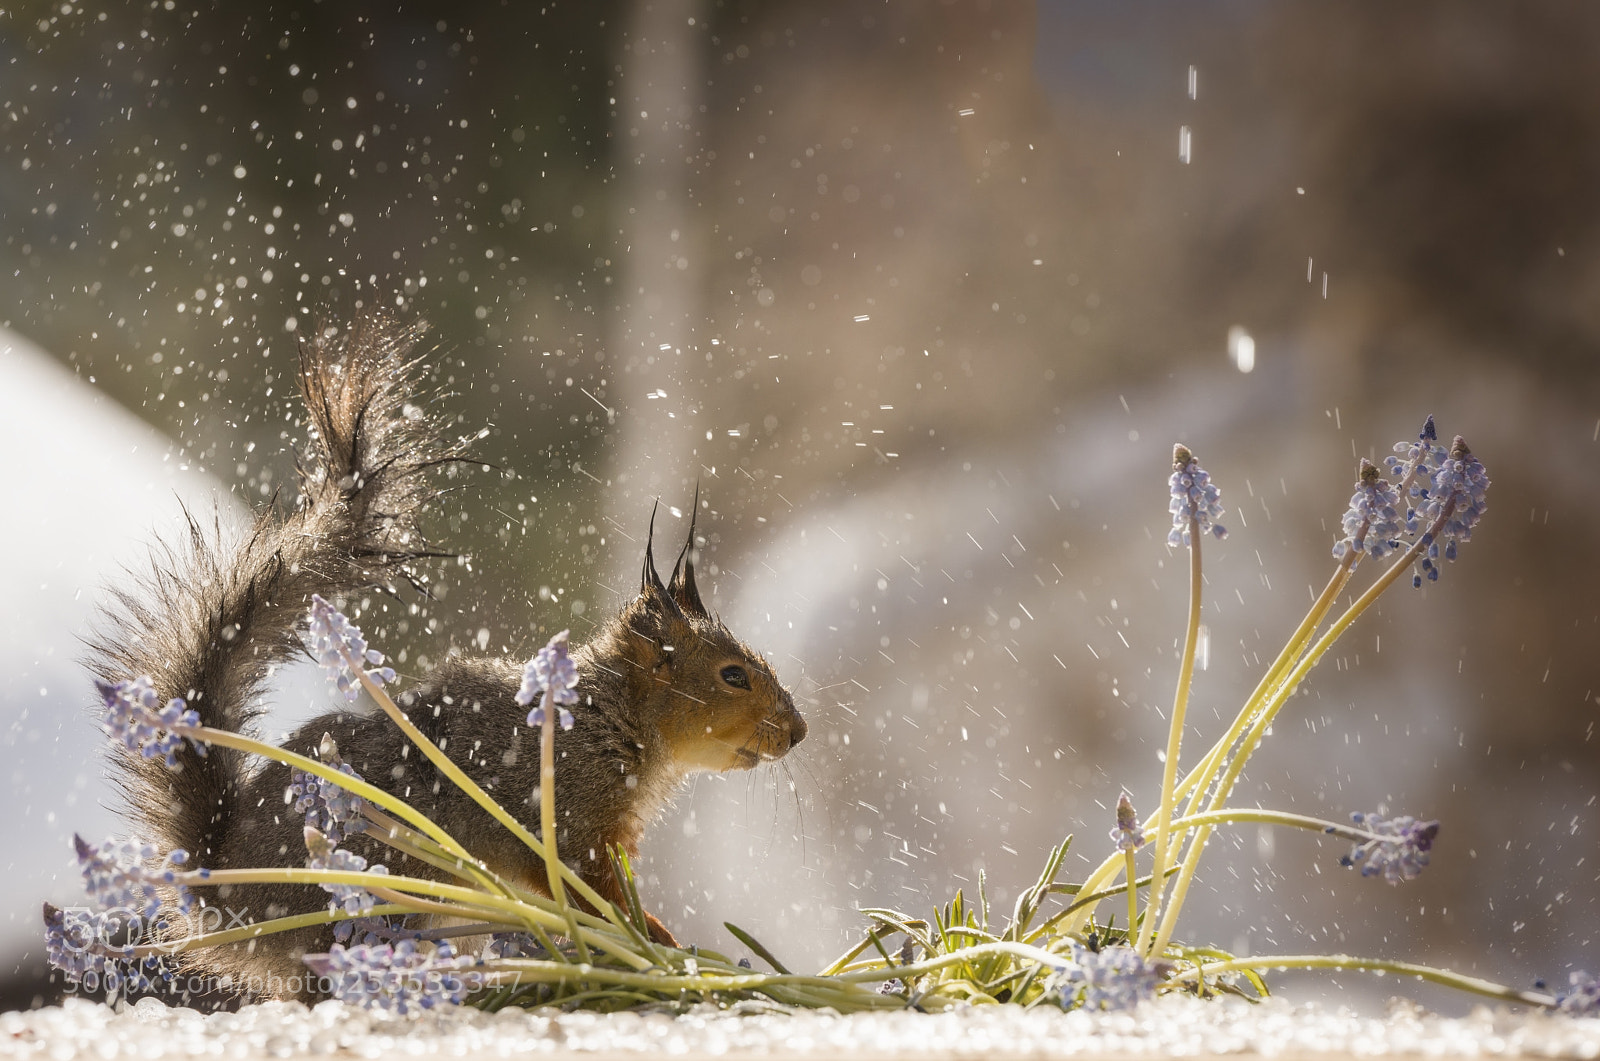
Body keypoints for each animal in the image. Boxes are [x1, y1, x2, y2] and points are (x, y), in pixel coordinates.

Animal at [87, 312, 807, 1001]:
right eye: (734, 675)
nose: (798, 731)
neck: (610, 715)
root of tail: (226, 892)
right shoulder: (567, 823)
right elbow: (592, 891)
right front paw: (657, 942)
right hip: (361, 901)